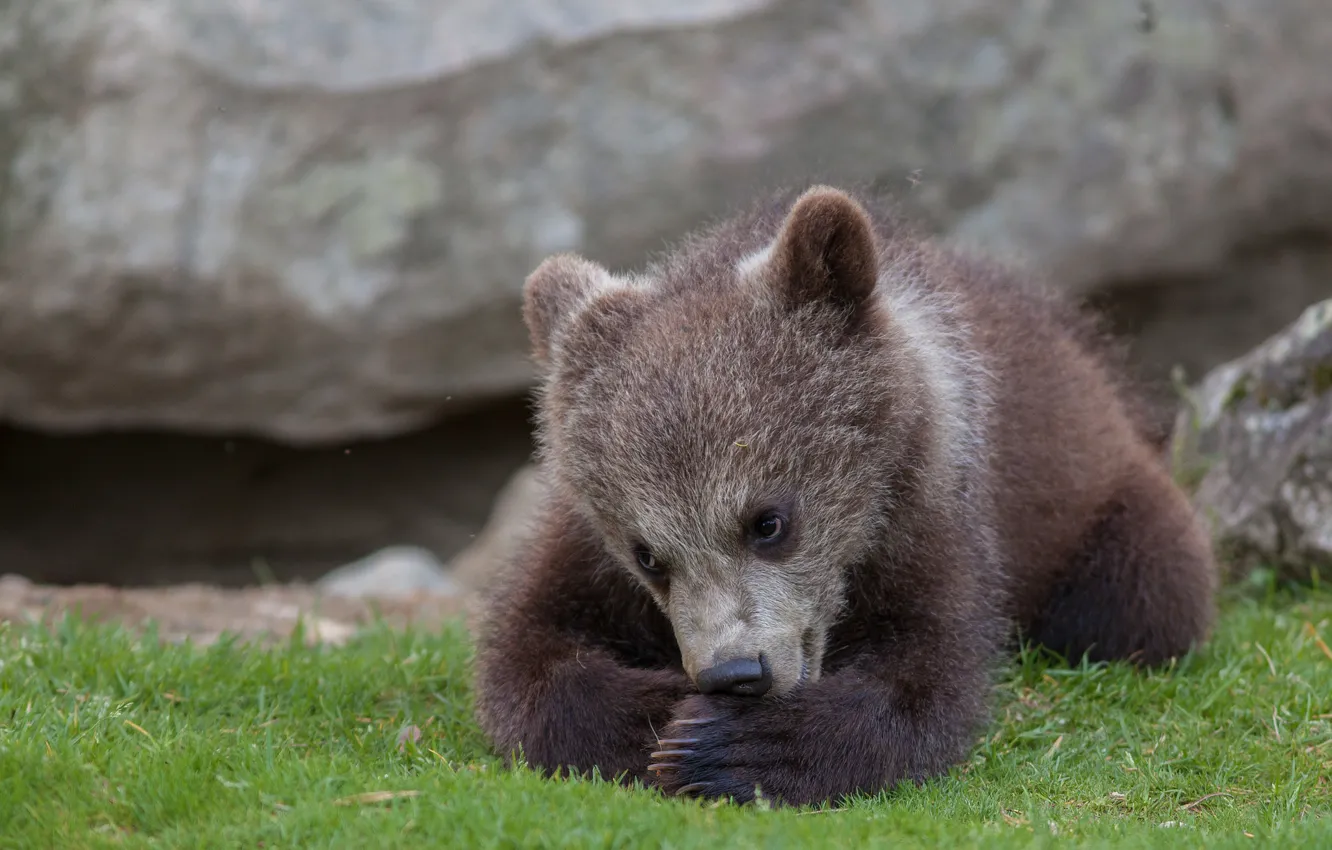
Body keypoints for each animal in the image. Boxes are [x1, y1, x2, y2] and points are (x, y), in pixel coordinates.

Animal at [472, 184, 1218, 808]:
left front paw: (729, 746)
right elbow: (530, 652)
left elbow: (921, 678)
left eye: (768, 520)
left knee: (1136, 595)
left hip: (1109, 510)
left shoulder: (931, 517)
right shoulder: (582, 549)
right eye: (647, 554)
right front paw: (659, 717)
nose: (735, 672)